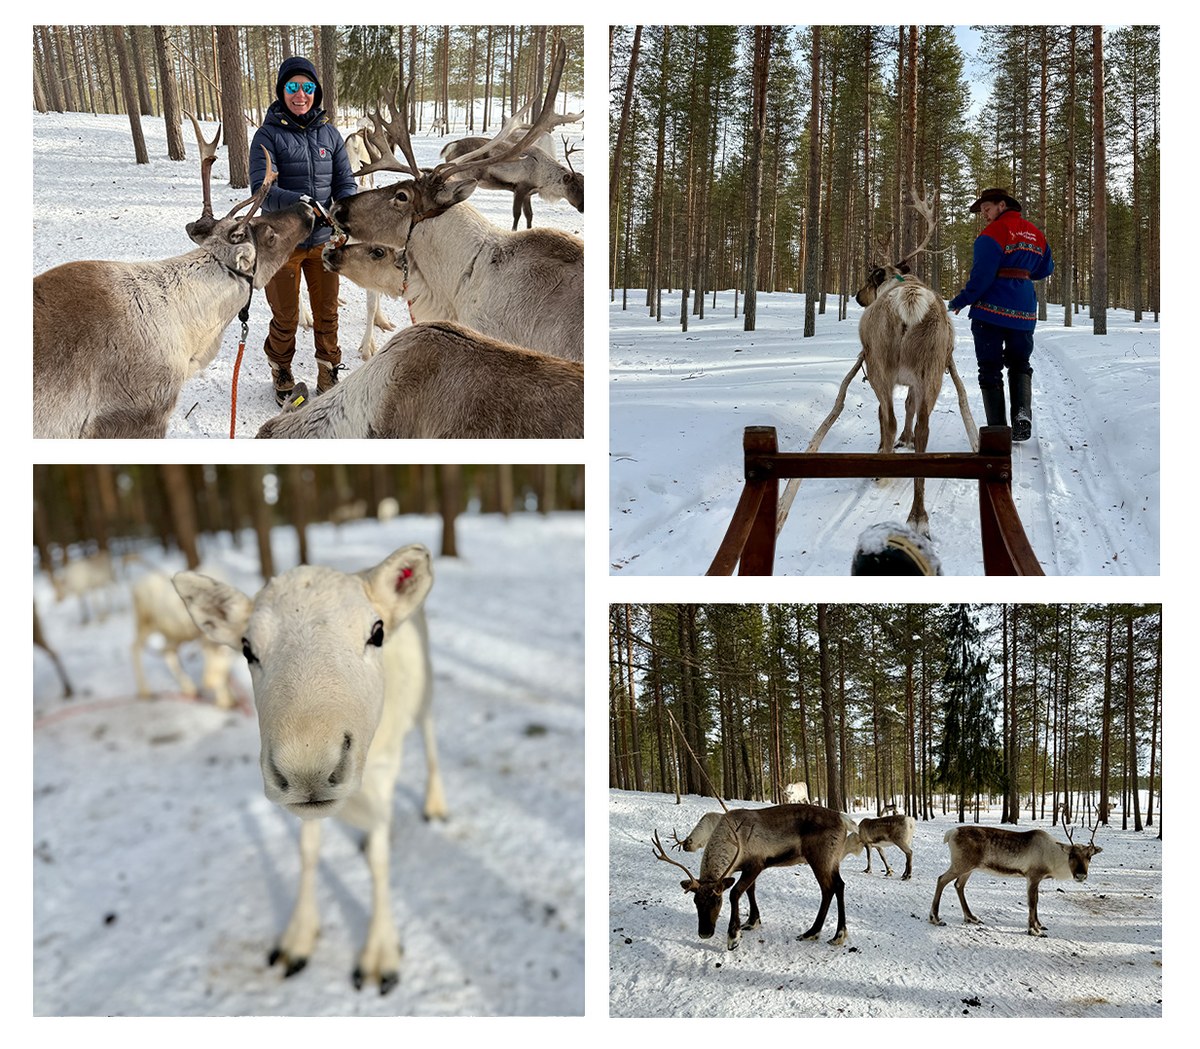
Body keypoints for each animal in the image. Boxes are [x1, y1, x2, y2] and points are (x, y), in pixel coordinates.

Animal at [174, 545, 446, 993]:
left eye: (377, 632)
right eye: (246, 648)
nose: (307, 768)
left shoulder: (383, 770)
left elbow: (380, 860)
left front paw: (379, 955)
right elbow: (308, 851)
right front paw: (297, 939)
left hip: (425, 694)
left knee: (430, 740)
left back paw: (436, 805)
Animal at [439, 132, 583, 230]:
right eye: (573, 187)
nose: (582, 208)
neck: (542, 175)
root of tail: (452, 144)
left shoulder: (528, 194)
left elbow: (529, 215)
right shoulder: (520, 189)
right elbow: (517, 214)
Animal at [653, 803, 849, 950]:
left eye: (718, 901)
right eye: (695, 901)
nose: (705, 932)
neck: (734, 837)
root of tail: (843, 819)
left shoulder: (756, 864)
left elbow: (736, 892)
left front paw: (733, 936)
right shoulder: (745, 868)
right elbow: (750, 891)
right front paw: (752, 921)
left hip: (820, 858)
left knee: (828, 888)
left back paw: (818, 933)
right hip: (831, 861)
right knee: (839, 885)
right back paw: (834, 934)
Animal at [853, 189, 978, 536]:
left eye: (869, 278)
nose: (857, 296)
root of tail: (908, 299)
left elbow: (884, 417)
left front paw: (886, 447)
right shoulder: (914, 380)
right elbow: (910, 408)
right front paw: (905, 442)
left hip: (881, 367)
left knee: (889, 417)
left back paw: (884, 472)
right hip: (933, 370)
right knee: (924, 429)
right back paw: (918, 515)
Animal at [929, 823, 1102, 936]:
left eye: (1089, 857)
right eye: (1071, 855)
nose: (1081, 875)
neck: (1053, 856)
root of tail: (951, 833)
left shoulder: (1035, 879)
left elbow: (1036, 900)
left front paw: (1040, 925)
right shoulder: (1033, 876)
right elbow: (1032, 902)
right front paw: (1034, 930)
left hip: (969, 867)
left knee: (959, 885)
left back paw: (972, 918)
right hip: (961, 864)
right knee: (941, 879)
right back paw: (935, 919)